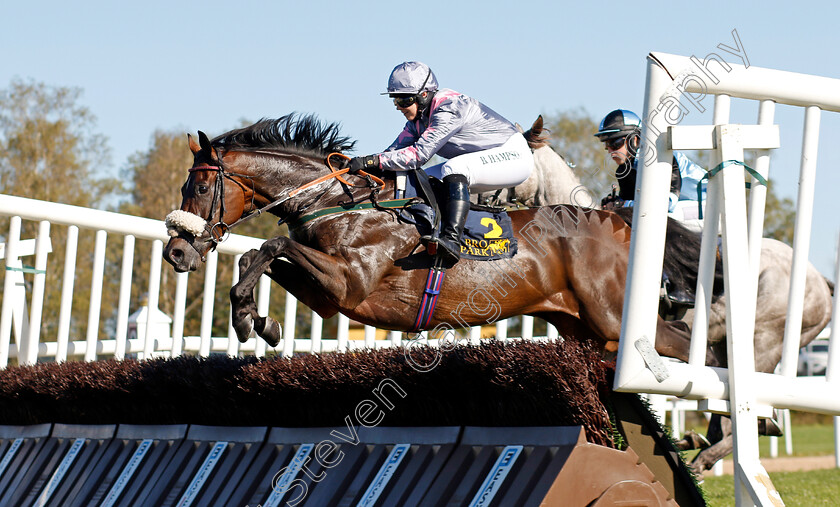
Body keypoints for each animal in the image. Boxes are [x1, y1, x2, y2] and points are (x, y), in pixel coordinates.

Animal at [162, 114, 708, 366]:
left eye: (201, 188)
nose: (176, 252)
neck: (337, 200)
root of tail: (619, 224)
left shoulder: (350, 282)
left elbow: (271, 248)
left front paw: (246, 320)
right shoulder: (330, 297)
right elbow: (259, 257)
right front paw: (259, 321)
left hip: (611, 316)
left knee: (680, 344)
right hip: (583, 329)